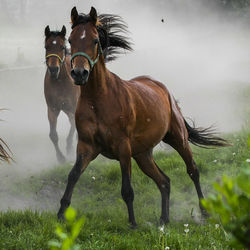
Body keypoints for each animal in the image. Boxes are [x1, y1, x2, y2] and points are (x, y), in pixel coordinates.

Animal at [44, 25, 79, 164]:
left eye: (62, 47)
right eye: (46, 46)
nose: (53, 69)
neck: (60, 83)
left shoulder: (74, 107)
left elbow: (74, 125)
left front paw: (69, 149)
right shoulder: (53, 109)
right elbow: (53, 135)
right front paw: (61, 158)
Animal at [57, 7, 229, 227]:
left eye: (95, 40)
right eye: (70, 40)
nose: (79, 73)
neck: (98, 100)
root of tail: (163, 88)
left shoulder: (123, 148)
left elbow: (127, 190)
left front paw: (133, 224)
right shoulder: (86, 147)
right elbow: (73, 176)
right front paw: (61, 215)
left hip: (178, 139)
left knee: (193, 171)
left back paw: (204, 211)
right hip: (143, 155)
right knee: (164, 181)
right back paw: (164, 219)